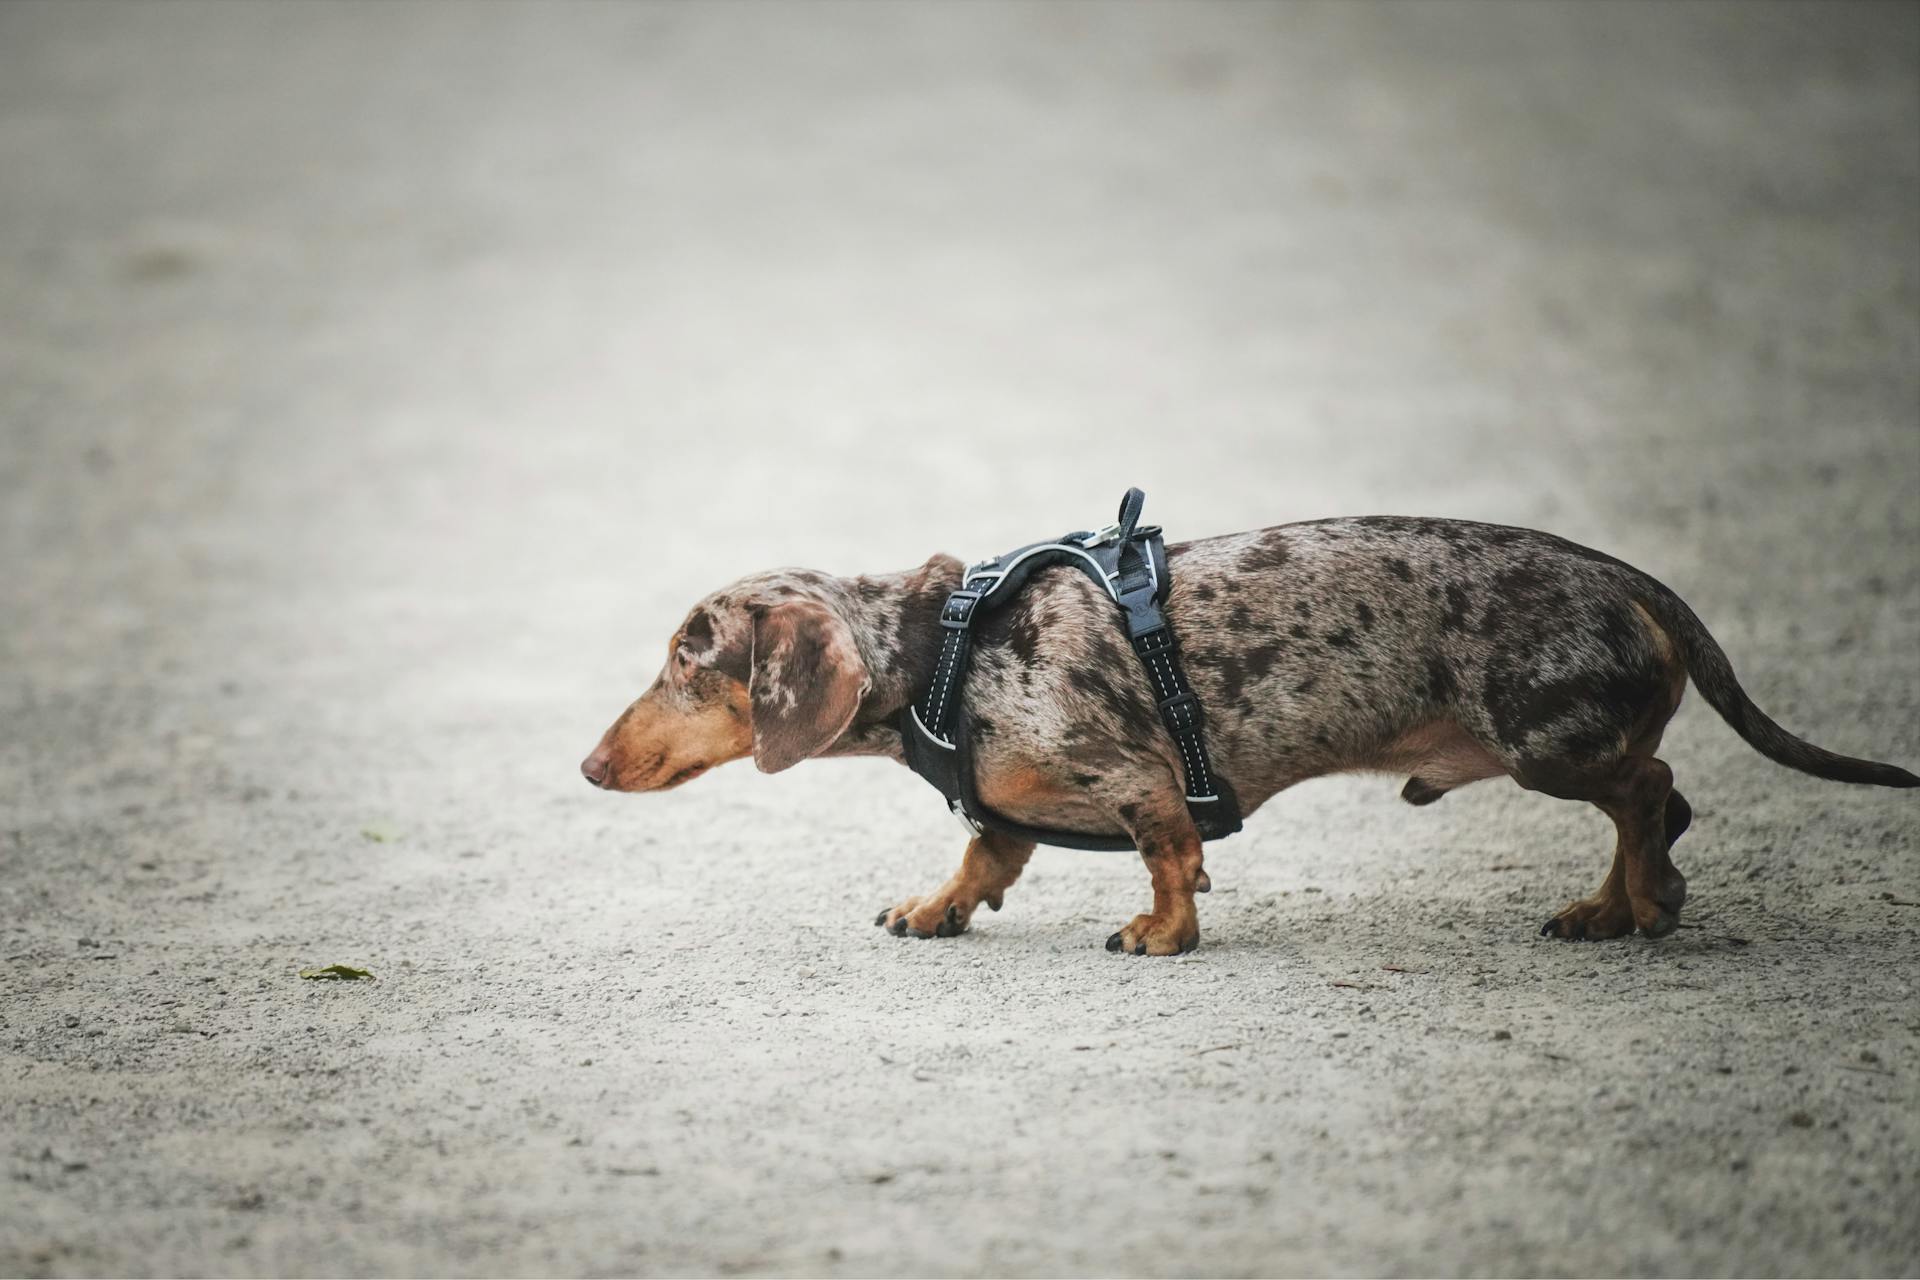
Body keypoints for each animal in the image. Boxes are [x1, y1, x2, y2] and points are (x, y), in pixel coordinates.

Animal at [583, 518, 1920, 951]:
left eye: (685, 658)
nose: (589, 766)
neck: (944, 645)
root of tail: (1622, 571)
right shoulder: (1006, 808)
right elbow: (981, 856)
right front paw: (934, 906)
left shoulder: (1133, 775)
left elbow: (1170, 856)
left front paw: (1161, 932)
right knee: (1661, 801)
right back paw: (1614, 900)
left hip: (1550, 738)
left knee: (1653, 790)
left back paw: (1639, 902)